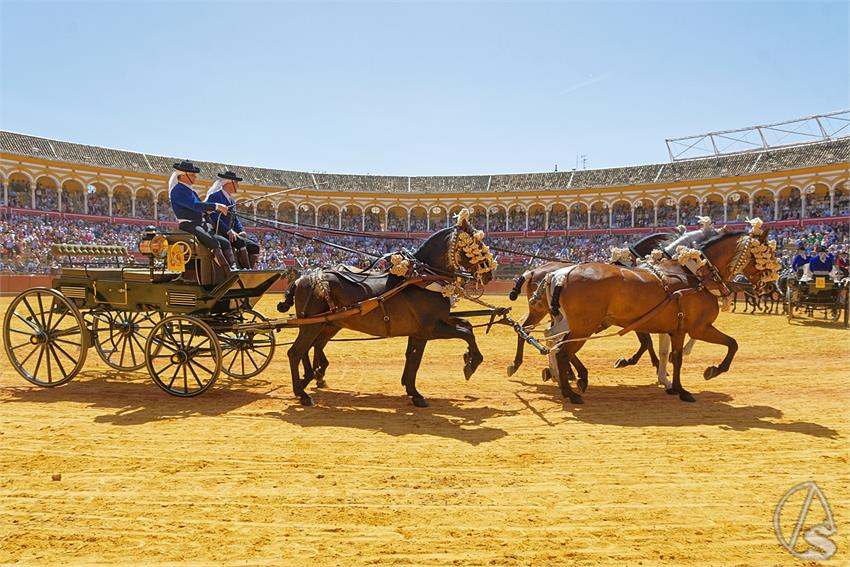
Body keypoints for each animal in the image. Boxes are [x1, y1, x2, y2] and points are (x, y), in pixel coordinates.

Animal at [278, 214, 494, 408]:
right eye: (475, 244)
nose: (490, 274)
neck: (422, 278)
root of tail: (302, 278)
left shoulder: (426, 328)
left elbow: (462, 328)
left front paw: (411, 388)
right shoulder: (430, 329)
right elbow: (461, 336)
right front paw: (470, 364)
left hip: (325, 324)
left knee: (310, 348)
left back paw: (310, 377)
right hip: (313, 325)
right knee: (295, 352)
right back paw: (302, 393)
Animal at [548, 226, 780, 404]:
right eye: (765, 255)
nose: (770, 286)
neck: (695, 277)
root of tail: (564, 274)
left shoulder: (677, 329)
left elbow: (674, 357)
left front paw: (677, 388)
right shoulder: (699, 328)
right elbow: (732, 344)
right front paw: (713, 370)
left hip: (578, 325)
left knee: (555, 343)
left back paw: (568, 378)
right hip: (584, 326)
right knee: (561, 351)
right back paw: (570, 390)